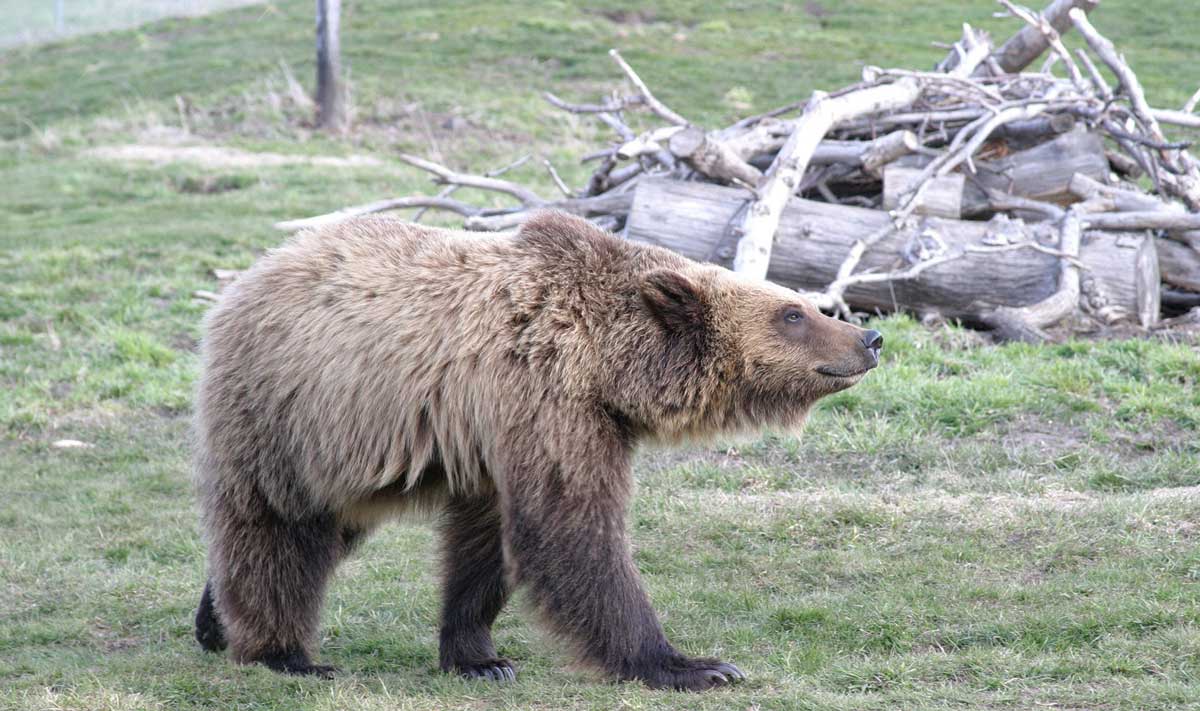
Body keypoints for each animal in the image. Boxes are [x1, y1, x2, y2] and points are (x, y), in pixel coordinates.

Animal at [192, 210, 882, 690]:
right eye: (792, 312)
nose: (868, 337)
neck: (606, 361)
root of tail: (247, 276)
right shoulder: (545, 399)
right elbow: (571, 529)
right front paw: (692, 664)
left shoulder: (497, 441)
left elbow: (487, 544)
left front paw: (479, 657)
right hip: (294, 414)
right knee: (278, 526)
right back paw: (284, 653)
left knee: (326, 529)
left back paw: (212, 621)